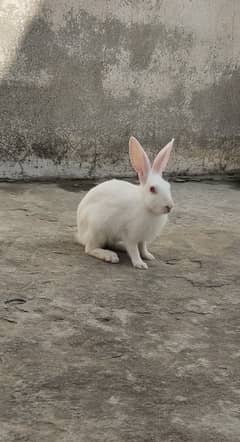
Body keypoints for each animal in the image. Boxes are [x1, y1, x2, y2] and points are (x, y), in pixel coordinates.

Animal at [76, 136, 174, 270]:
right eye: (152, 189)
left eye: (168, 186)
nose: (169, 206)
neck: (144, 205)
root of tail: (81, 235)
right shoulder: (130, 235)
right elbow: (134, 250)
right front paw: (140, 264)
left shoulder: (142, 238)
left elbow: (142, 247)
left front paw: (148, 256)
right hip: (97, 230)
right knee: (90, 249)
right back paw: (110, 256)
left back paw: (120, 248)